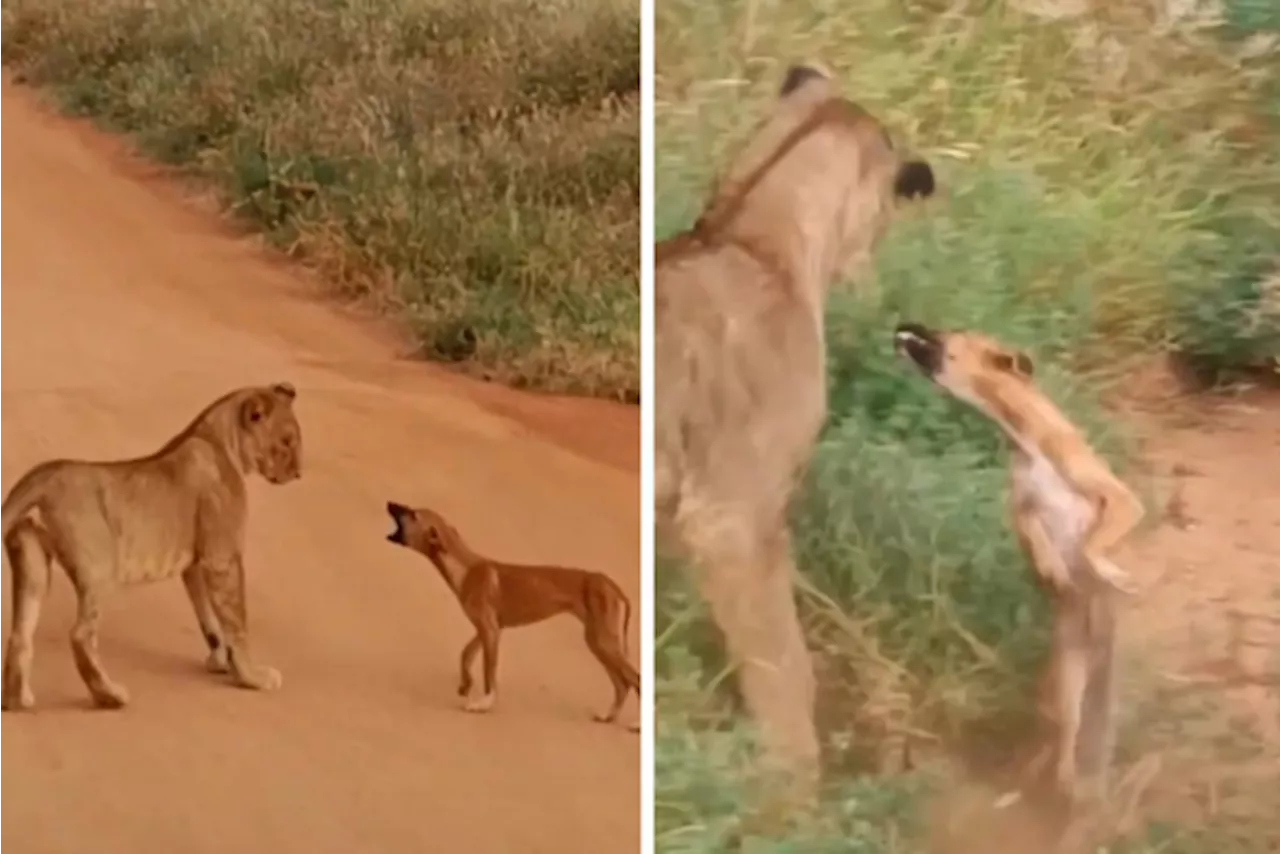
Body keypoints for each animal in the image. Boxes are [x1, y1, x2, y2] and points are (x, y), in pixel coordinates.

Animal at [0, 384, 302, 711]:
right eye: (287, 441)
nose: (299, 473)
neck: (219, 438)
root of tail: (43, 475)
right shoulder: (222, 558)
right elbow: (236, 622)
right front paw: (253, 677)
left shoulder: (196, 565)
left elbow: (208, 618)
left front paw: (221, 662)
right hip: (100, 568)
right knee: (80, 635)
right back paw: (111, 696)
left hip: (31, 560)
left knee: (20, 633)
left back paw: (17, 700)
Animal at [378, 504, 640, 732]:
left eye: (413, 514)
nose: (390, 502)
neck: (465, 568)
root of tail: (612, 585)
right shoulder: (487, 629)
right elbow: (465, 655)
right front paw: (465, 684)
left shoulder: (491, 631)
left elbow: (489, 672)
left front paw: (483, 704)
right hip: (598, 642)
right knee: (622, 684)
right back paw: (608, 716)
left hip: (604, 641)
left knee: (634, 679)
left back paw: (637, 725)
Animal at [890, 318, 1152, 809]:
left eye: (950, 332)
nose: (902, 323)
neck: (1024, 436)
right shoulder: (1020, 507)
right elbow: (1034, 529)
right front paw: (1054, 567)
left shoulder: (1119, 498)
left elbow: (1093, 544)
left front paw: (1108, 572)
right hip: (1069, 683)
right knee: (1060, 743)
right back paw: (1055, 787)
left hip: (1096, 696)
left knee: (1077, 751)